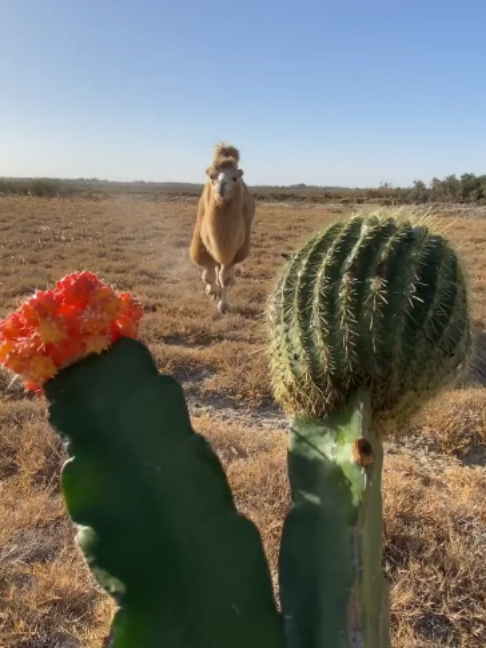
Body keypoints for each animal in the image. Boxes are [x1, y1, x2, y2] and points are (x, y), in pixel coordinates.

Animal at [189, 142, 255, 314]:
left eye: (234, 178)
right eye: (212, 177)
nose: (221, 186)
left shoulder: (231, 248)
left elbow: (224, 278)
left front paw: (223, 305)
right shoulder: (202, 244)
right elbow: (208, 276)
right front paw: (212, 291)